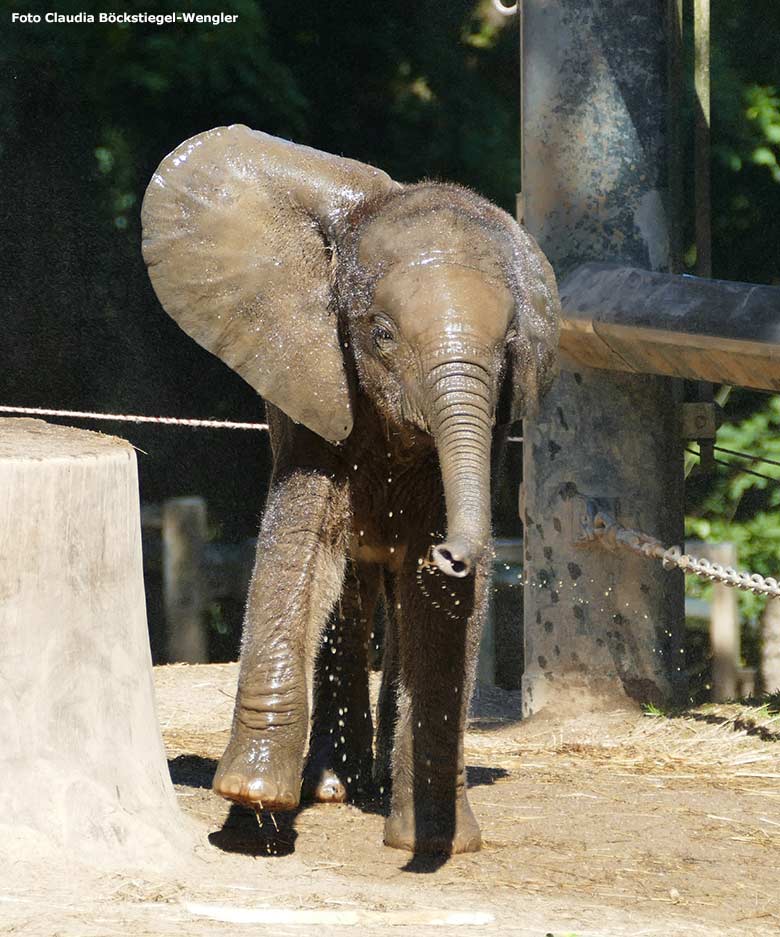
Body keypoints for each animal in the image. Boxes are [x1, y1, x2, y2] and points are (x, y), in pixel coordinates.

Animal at [142, 126, 560, 856]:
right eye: (381, 334)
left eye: (510, 344)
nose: (452, 553)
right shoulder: (316, 384)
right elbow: (300, 544)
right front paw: (254, 801)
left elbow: (443, 607)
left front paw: (436, 837)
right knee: (353, 588)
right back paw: (335, 786)